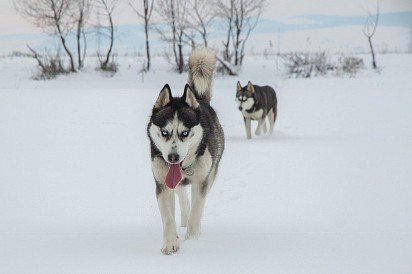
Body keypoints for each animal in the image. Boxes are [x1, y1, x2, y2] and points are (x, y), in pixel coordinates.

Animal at [147, 48, 225, 255]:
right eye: (164, 132)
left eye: (185, 132)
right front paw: (170, 243)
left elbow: (197, 212)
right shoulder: (162, 183)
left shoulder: (202, 182)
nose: (173, 157)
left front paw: (193, 240)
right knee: (182, 198)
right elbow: (168, 216)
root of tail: (198, 99)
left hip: (211, 174)